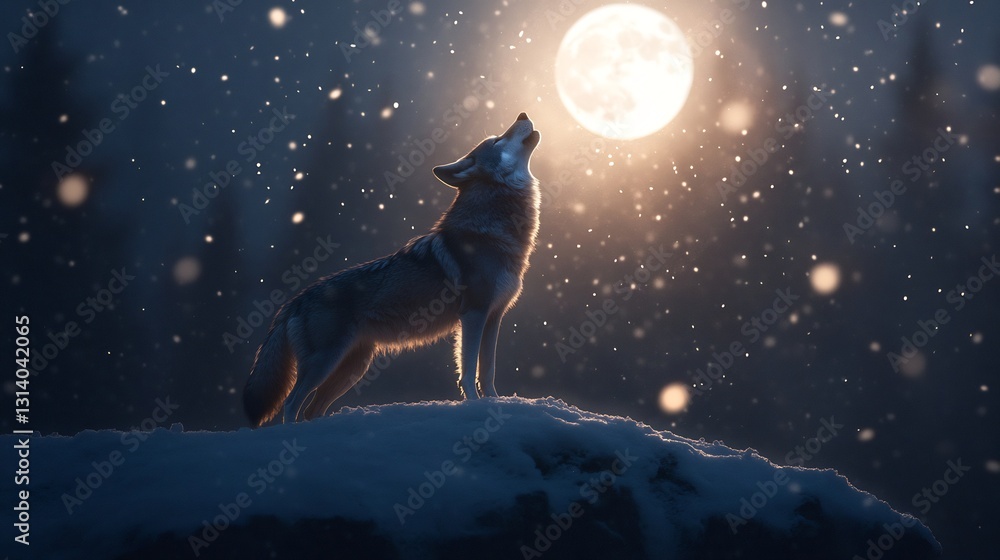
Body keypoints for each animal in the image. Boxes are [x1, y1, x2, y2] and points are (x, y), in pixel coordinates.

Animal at [244, 113, 541, 425]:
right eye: (497, 140)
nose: (522, 114)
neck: (494, 230)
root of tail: (293, 301)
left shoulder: (493, 317)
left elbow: (488, 371)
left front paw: (495, 403)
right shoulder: (473, 315)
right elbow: (469, 371)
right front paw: (474, 406)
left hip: (352, 367)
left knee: (311, 409)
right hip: (325, 363)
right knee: (291, 404)